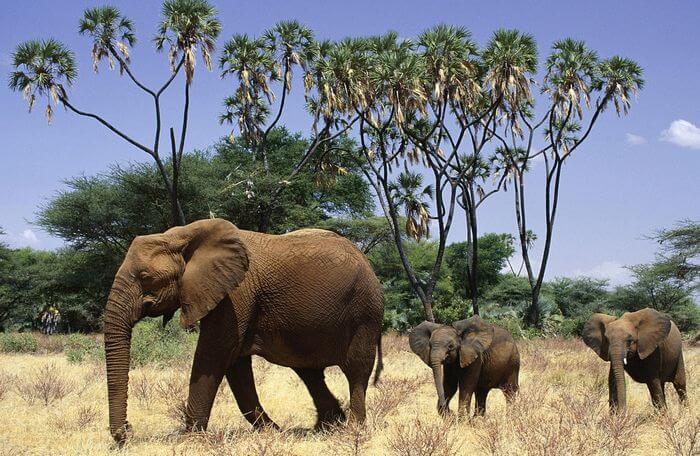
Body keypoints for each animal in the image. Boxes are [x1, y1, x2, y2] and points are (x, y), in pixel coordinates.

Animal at [103, 218, 384, 444]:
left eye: (145, 277)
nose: (127, 431)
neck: (180, 235)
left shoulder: (236, 294)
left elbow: (214, 354)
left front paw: (189, 439)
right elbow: (236, 367)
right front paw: (273, 433)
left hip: (365, 311)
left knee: (356, 369)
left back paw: (352, 430)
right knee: (309, 372)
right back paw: (326, 426)